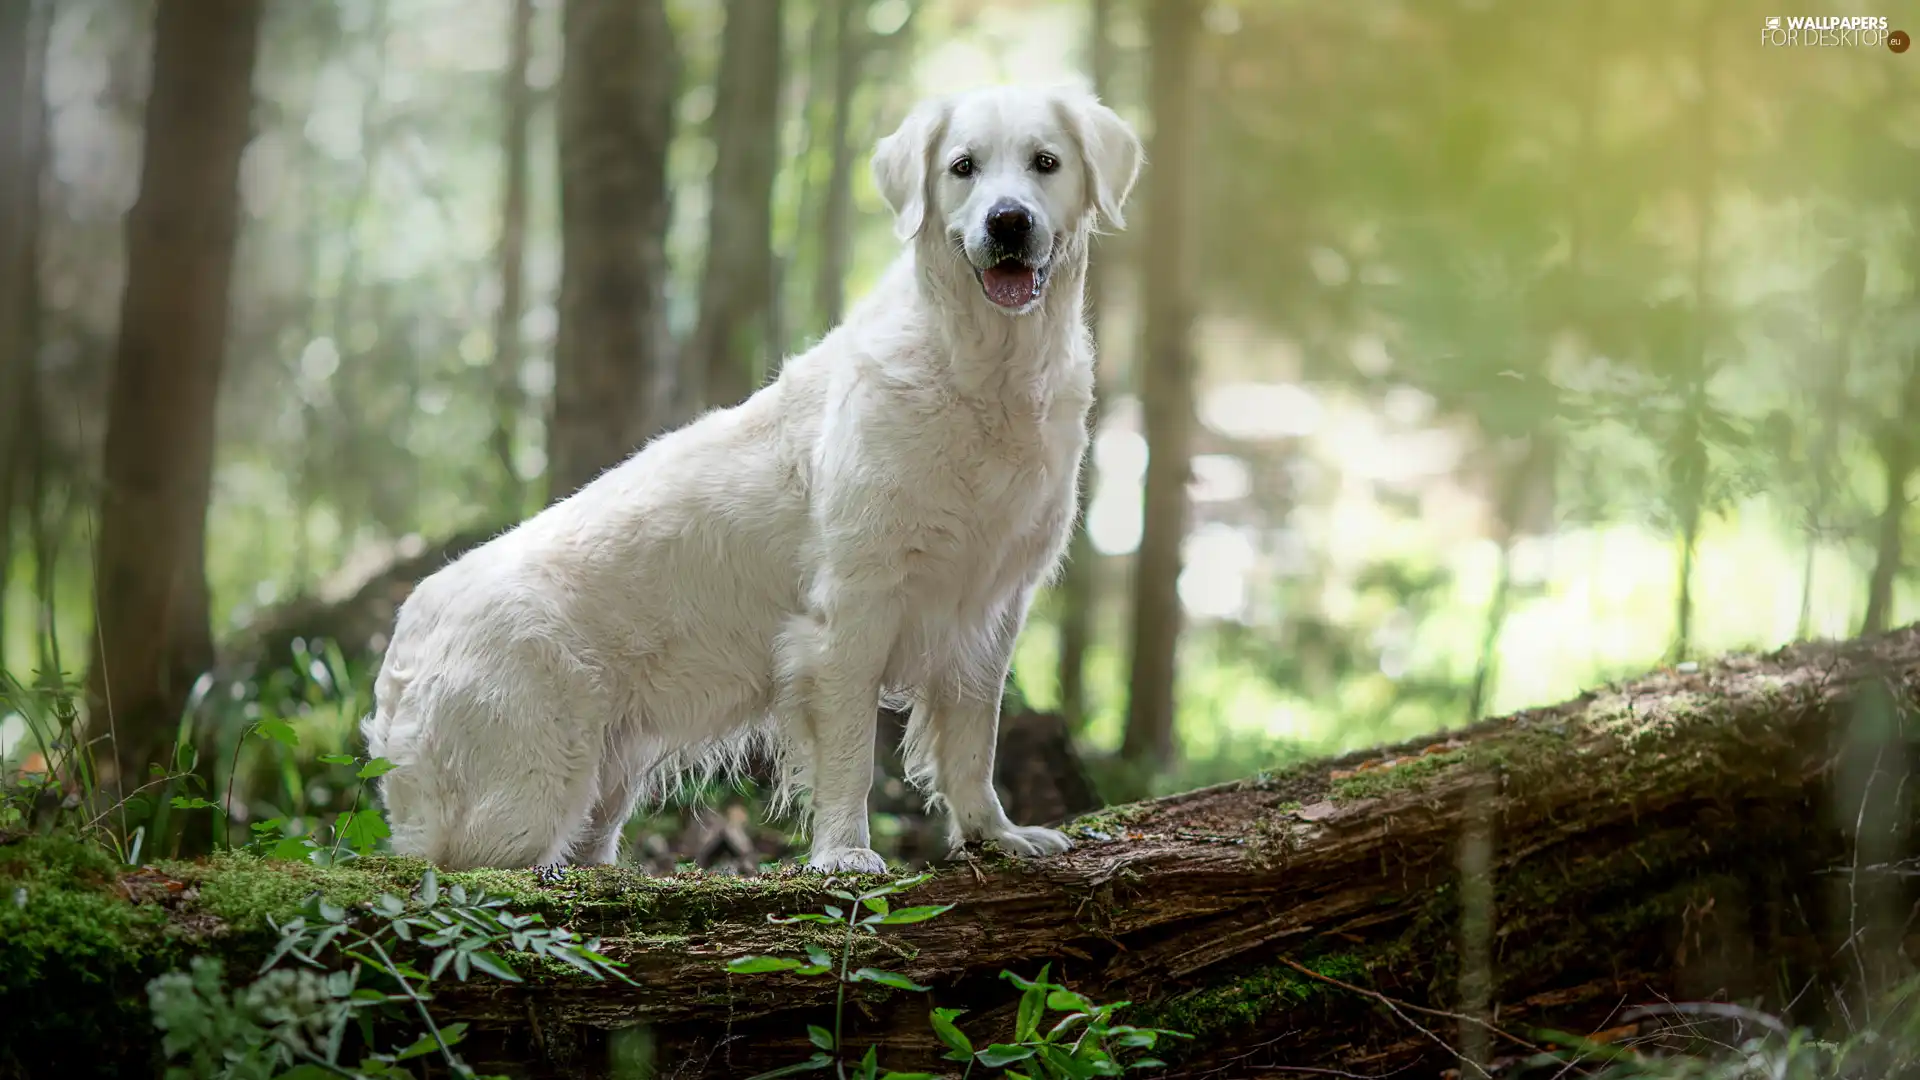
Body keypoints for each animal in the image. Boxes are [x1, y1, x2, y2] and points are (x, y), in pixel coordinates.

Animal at [360, 85, 1136, 876]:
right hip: (526, 791)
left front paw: (995, 834)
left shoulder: (991, 609)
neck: (985, 373)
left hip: (607, 780)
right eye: (963, 167)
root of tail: (401, 646)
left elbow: (976, 742)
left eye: (1046, 163)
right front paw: (844, 853)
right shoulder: (851, 610)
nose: (1008, 221)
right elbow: (852, 754)